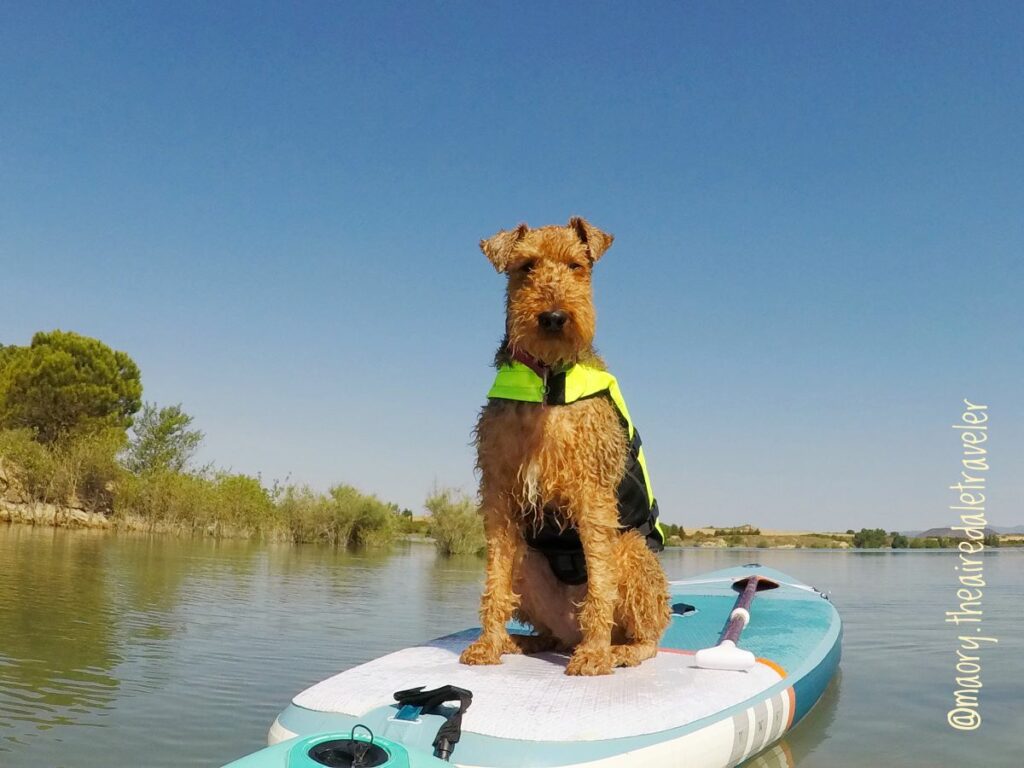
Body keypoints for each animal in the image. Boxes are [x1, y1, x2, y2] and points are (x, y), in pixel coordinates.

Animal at [458, 218, 671, 679]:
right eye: (526, 266)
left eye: (577, 266)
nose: (554, 317)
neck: (546, 382)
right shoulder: (499, 493)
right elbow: (494, 584)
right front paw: (486, 644)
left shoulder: (592, 493)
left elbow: (600, 589)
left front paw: (593, 656)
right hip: (529, 563)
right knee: (549, 630)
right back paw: (520, 640)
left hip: (629, 550)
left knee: (648, 635)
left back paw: (614, 650)